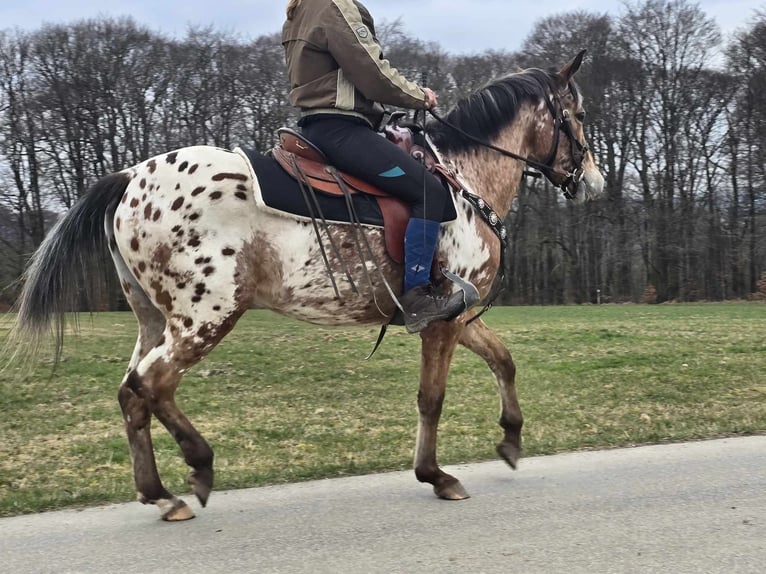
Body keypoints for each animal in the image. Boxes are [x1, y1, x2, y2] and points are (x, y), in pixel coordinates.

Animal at [9, 51, 604, 524]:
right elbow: (431, 397)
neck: (464, 180)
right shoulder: (441, 322)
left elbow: (503, 361)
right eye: (576, 116)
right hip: (206, 316)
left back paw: (160, 495)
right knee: (152, 384)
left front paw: (510, 438)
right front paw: (436, 475)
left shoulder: (457, 314)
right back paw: (199, 466)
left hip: (155, 319)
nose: (594, 182)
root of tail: (131, 177)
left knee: (131, 393)